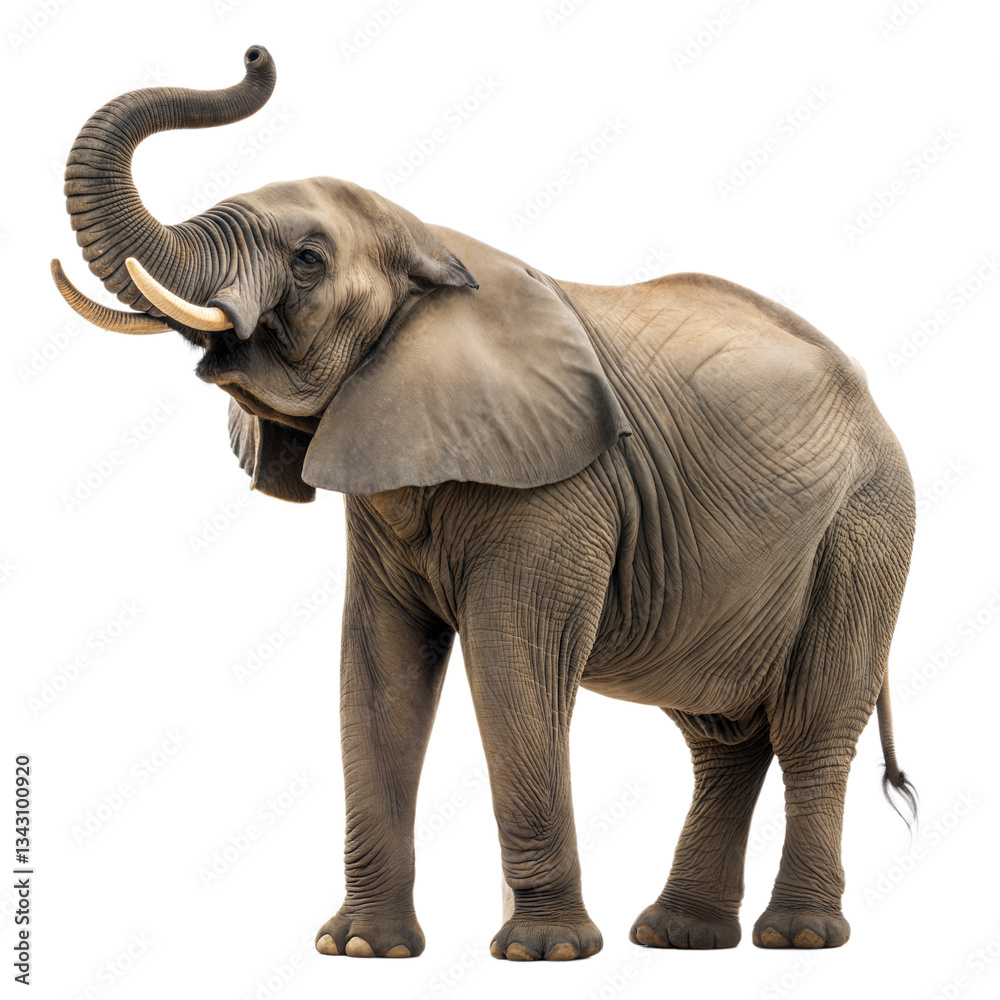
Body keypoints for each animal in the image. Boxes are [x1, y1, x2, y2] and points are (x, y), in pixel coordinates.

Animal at [53, 46, 918, 961]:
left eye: (308, 260)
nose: (255, 55)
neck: (433, 245)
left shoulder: (560, 486)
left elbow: (514, 663)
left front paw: (544, 953)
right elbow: (377, 666)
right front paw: (362, 950)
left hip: (865, 526)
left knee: (810, 726)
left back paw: (796, 937)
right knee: (722, 733)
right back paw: (677, 936)